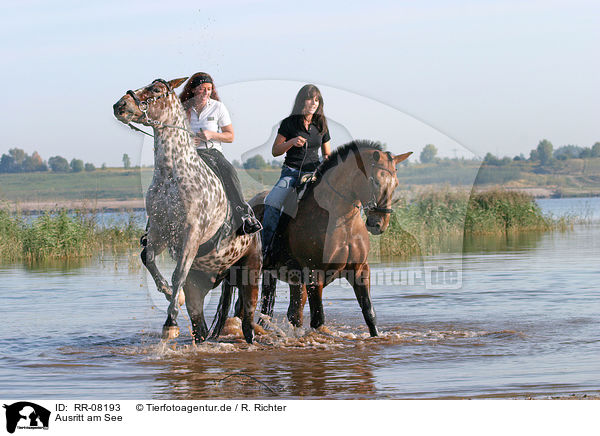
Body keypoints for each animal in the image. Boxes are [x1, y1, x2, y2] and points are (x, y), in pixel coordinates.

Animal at [113, 77, 262, 344]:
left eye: (156, 89)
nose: (120, 105)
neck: (172, 174)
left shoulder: (192, 233)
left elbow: (177, 274)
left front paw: (170, 323)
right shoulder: (160, 231)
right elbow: (148, 258)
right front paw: (171, 295)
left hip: (251, 273)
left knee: (248, 321)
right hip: (202, 283)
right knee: (200, 326)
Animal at [212, 141, 412, 338]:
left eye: (396, 183)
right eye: (375, 181)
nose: (379, 223)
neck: (339, 218)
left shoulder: (360, 270)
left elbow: (369, 313)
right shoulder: (315, 274)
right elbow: (318, 320)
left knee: (292, 313)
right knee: (242, 309)